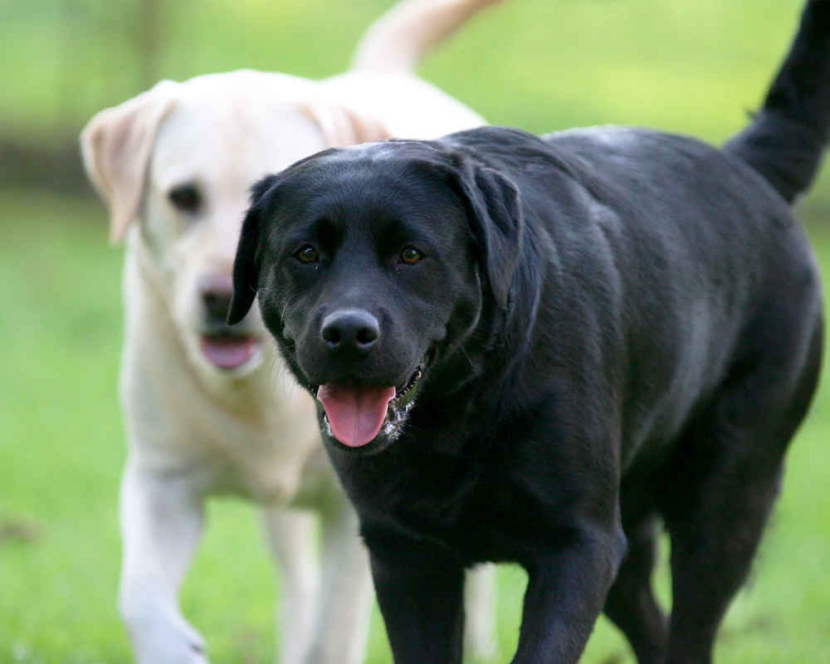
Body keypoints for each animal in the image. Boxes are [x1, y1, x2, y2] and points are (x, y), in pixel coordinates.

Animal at [232, 2, 830, 660]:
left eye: (411, 254)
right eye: (306, 253)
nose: (346, 333)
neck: (457, 412)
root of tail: (748, 165)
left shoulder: (579, 544)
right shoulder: (404, 555)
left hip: (726, 499)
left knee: (692, 624)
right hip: (629, 535)